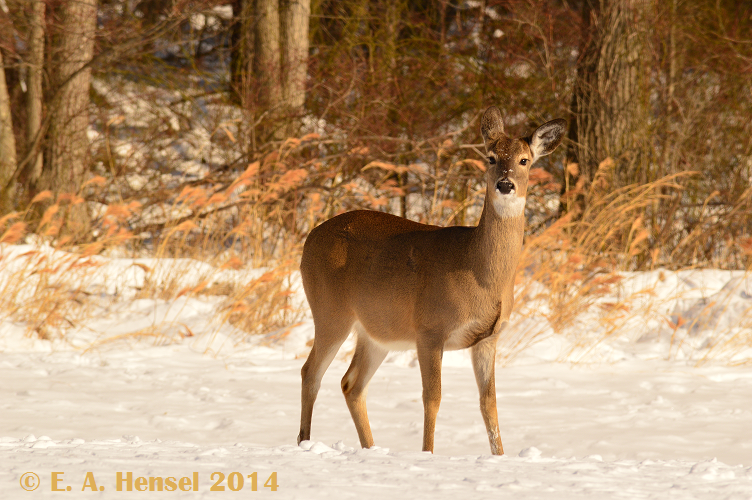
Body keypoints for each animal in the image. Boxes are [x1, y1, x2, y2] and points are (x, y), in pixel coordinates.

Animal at [296, 106, 564, 458]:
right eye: (491, 157)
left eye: (525, 160)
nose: (505, 184)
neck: (479, 274)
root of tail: (308, 239)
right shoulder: (429, 330)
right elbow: (432, 398)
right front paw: (428, 455)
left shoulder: (489, 337)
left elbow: (489, 404)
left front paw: (500, 457)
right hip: (330, 311)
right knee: (310, 372)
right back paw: (304, 443)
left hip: (376, 332)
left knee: (350, 383)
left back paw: (371, 449)